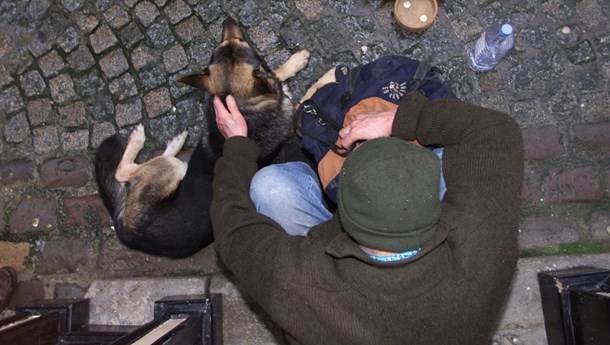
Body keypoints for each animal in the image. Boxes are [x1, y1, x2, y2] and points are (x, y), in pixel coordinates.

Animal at [97, 18, 312, 255]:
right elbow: (280, 81)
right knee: (123, 172)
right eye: (240, 41)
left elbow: (276, 78)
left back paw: (175, 142)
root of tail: (125, 230)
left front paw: (294, 63)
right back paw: (140, 139)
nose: (227, 20)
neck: (241, 105)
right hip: (171, 168)